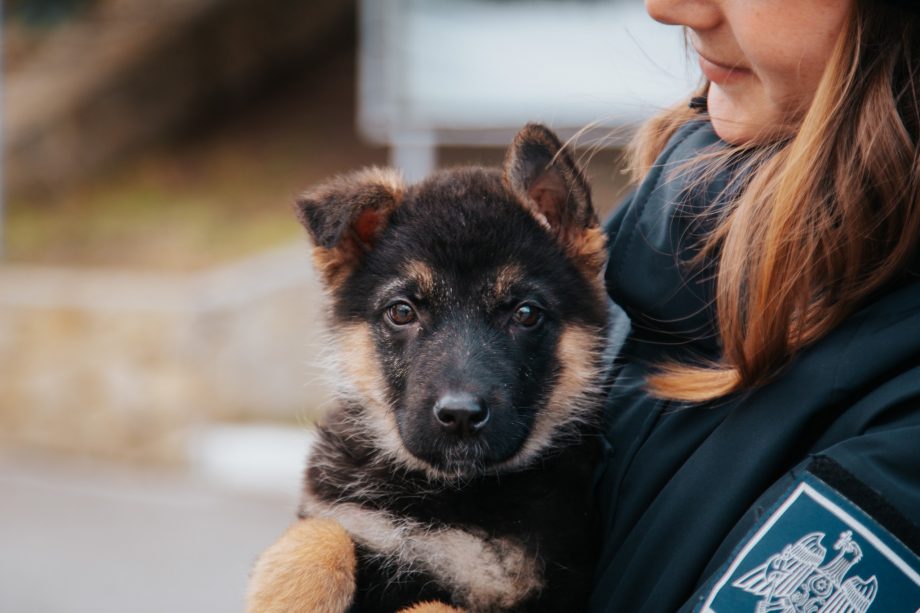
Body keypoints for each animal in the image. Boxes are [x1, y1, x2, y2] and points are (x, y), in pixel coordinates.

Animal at [248, 124, 612, 612]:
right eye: (402, 312)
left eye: (526, 314)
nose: (460, 415)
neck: (440, 490)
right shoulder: (350, 517)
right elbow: (316, 538)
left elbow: (434, 607)